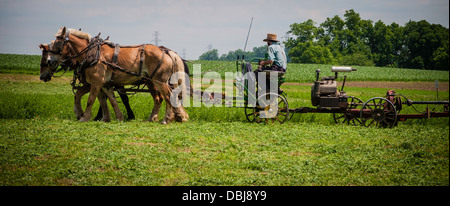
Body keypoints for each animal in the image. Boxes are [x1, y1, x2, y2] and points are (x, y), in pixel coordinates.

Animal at [48, 27, 189, 124]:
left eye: (57, 43)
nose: (50, 61)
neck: (93, 54)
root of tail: (165, 51)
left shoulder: (96, 83)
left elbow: (90, 100)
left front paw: (84, 117)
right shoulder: (105, 84)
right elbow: (111, 100)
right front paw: (117, 117)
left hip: (159, 81)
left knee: (168, 96)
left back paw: (166, 119)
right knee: (164, 98)